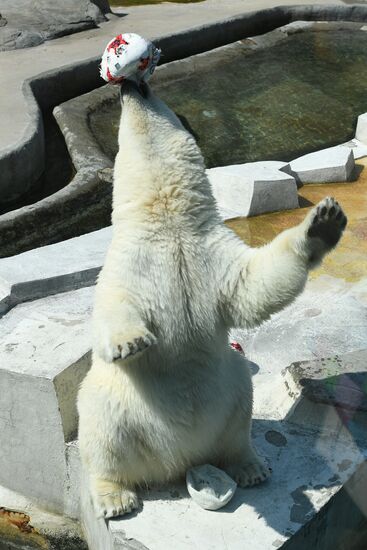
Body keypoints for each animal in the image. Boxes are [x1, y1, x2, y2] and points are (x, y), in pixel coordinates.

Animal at [77, 81, 348, 516]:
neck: (169, 220)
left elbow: (253, 285)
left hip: (225, 399)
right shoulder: (128, 261)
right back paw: (115, 497)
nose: (131, 84)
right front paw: (130, 341)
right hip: (125, 410)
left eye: (149, 90)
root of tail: (179, 461)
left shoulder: (211, 254)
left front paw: (322, 224)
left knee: (239, 404)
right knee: (102, 427)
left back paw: (250, 467)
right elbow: (113, 305)